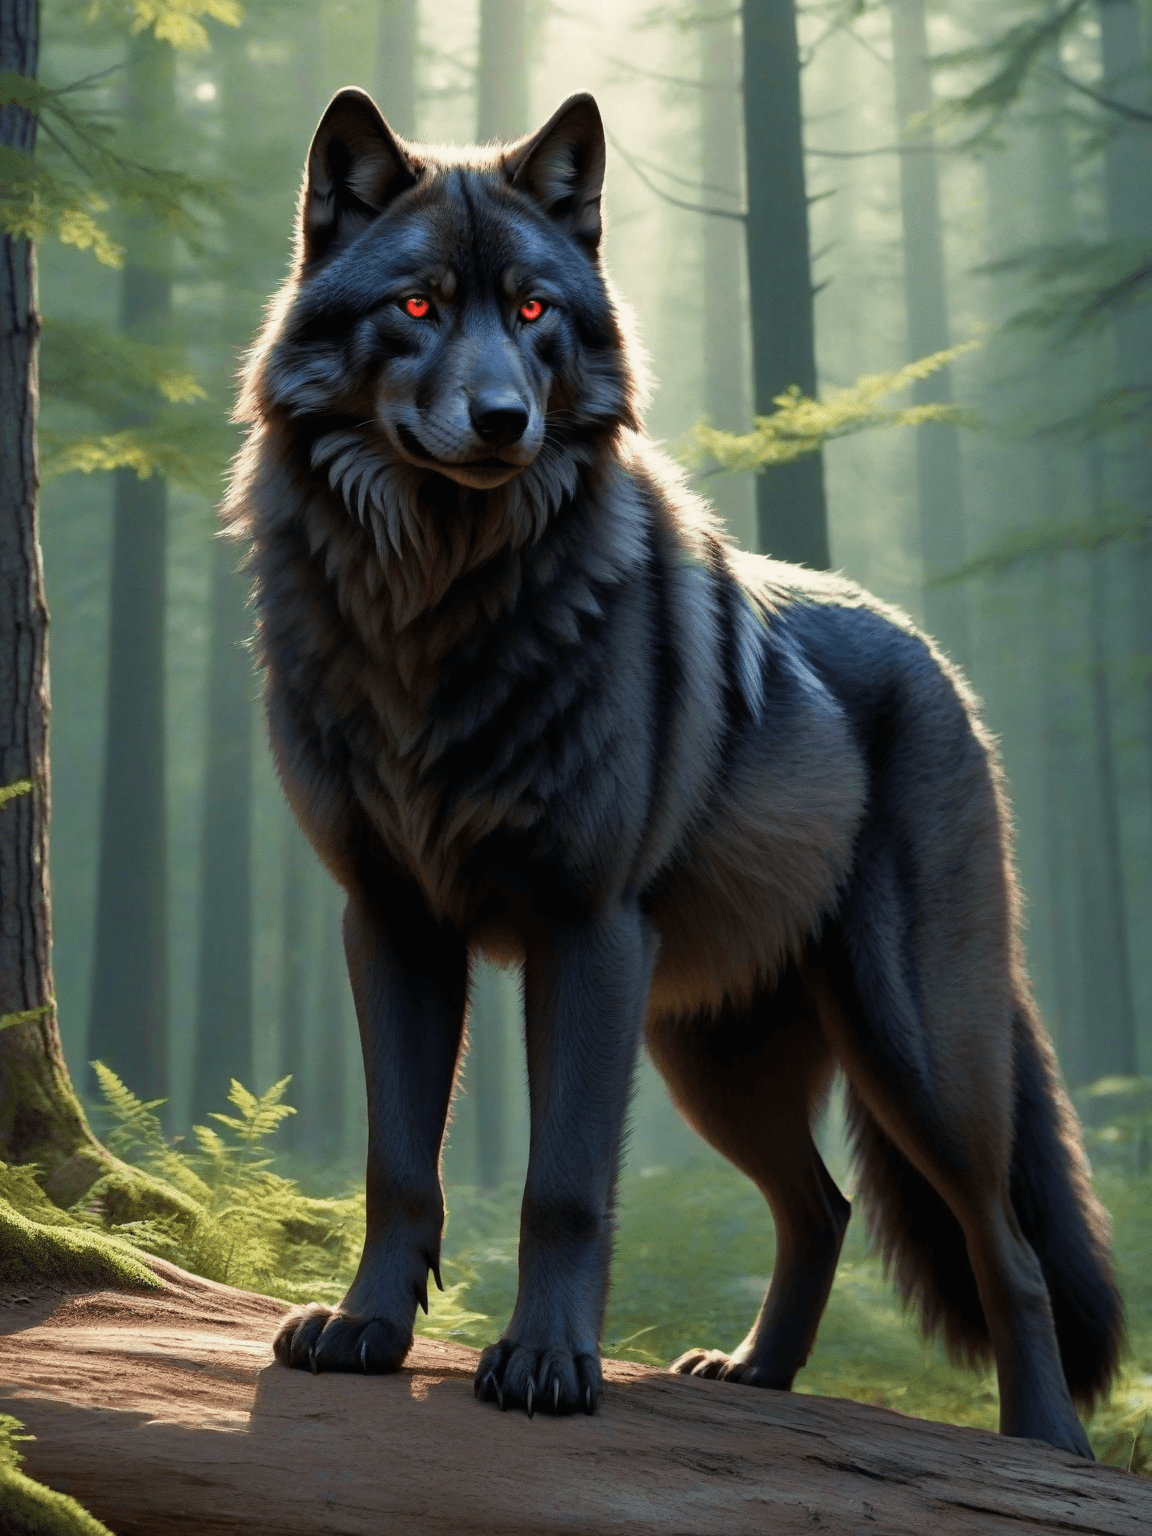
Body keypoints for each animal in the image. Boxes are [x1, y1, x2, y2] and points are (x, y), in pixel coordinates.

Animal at [225, 87, 1122, 1452]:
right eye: (419, 307)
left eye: (533, 311)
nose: (503, 421)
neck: (435, 608)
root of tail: (938, 665)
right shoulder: (390, 924)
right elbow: (399, 1165)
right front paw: (369, 1331)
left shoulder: (585, 931)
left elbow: (563, 1186)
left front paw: (547, 1363)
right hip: (711, 1059)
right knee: (823, 1209)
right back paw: (755, 1373)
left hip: (910, 1053)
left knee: (1004, 1246)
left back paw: (1047, 1446)